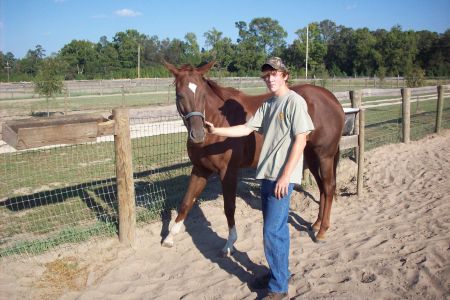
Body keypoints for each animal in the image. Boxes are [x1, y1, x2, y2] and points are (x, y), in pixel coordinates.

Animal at [162, 61, 344, 255]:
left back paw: (322, 231)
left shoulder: (228, 172)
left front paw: (230, 244)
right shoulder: (200, 169)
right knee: (322, 188)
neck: (219, 124)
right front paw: (169, 238)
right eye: (180, 95)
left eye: (203, 94)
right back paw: (316, 224)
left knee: (329, 187)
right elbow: (186, 202)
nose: (197, 134)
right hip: (311, 156)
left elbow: (229, 207)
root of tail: (332, 100)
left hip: (324, 156)